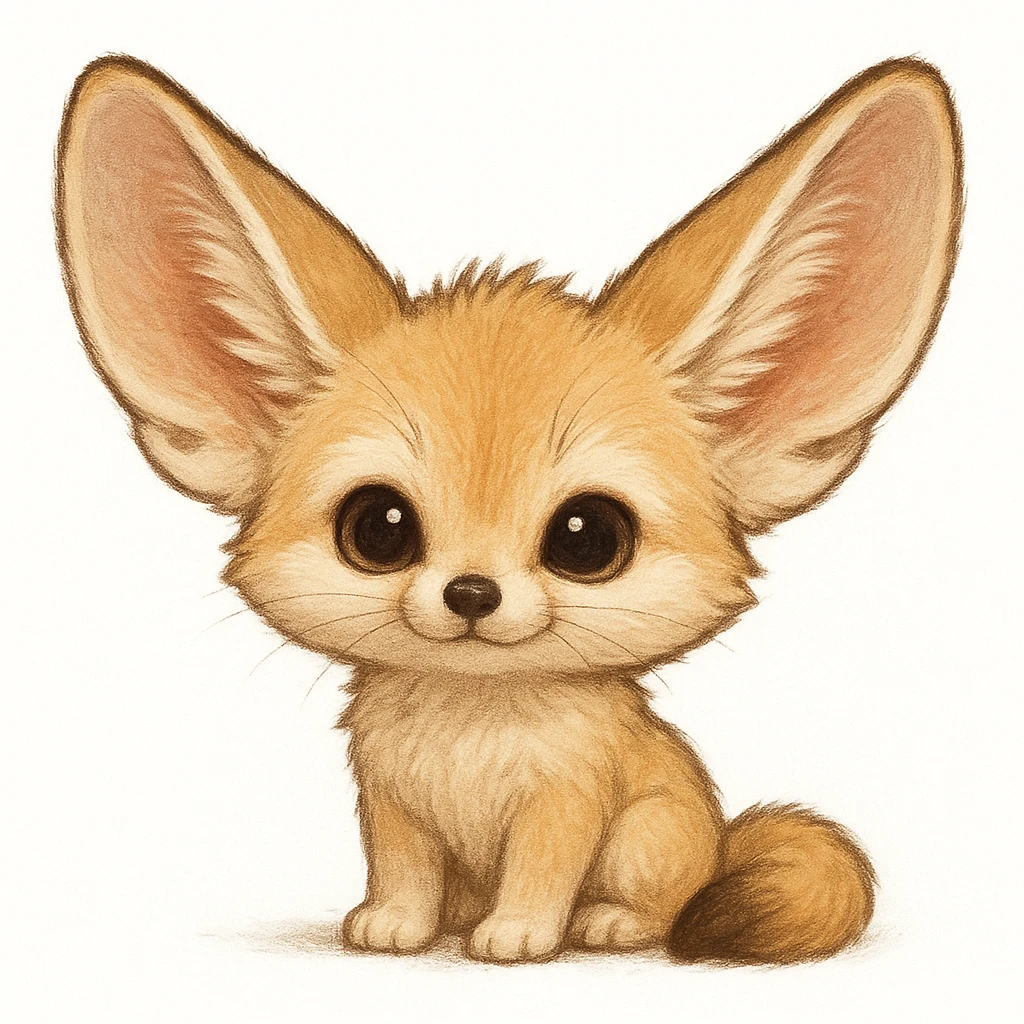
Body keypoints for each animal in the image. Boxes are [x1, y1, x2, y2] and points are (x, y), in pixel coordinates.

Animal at [56, 55, 962, 965]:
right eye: (378, 528)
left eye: (588, 538)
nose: (471, 593)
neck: (472, 729)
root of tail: (719, 842)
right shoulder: (392, 804)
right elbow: (403, 871)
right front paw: (395, 924)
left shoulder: (565, 804)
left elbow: (540, 871)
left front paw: (521, 933)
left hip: (650, 834)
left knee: (662, 899)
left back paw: (609, 921)